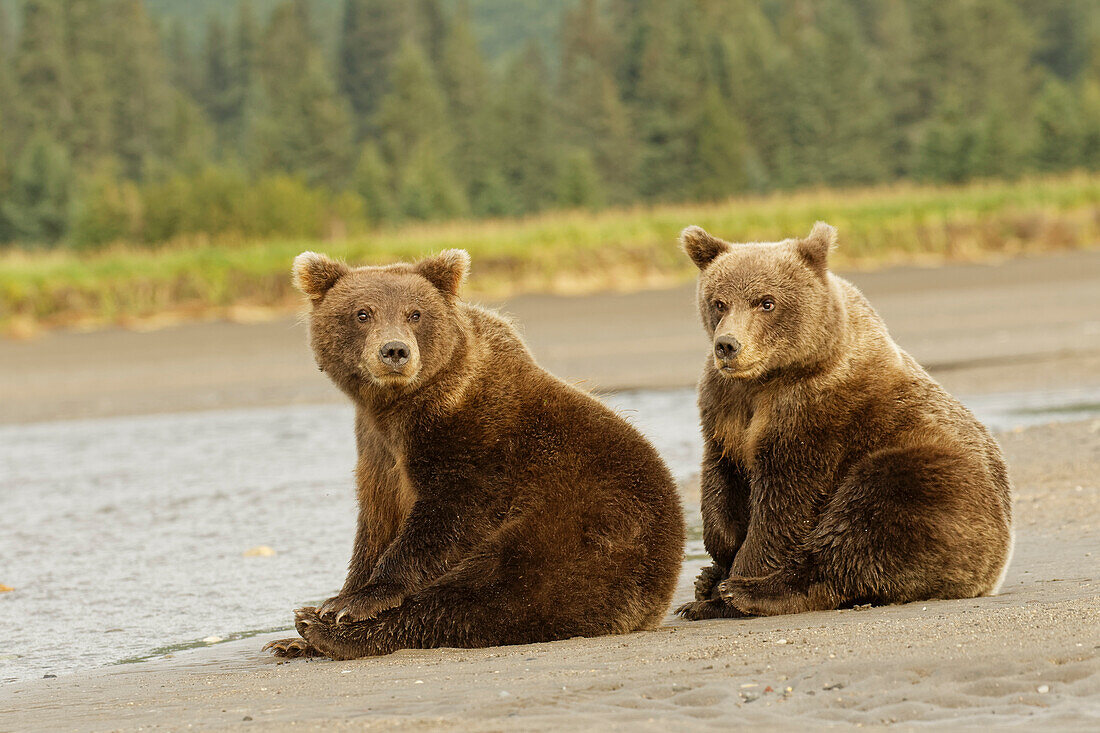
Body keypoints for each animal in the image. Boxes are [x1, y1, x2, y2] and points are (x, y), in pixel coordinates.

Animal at [677, 221, 1012, 616]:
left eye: (766, 302)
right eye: (719, 302)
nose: (728, 345)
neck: (767, 379)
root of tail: (995, 570)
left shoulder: (815, 415)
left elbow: (785, 506)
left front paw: (729, 587)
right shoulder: (723, 408)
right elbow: (721, 477)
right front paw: (719, 558)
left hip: (930, 478)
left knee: (859, 531)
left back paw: (747, 593)